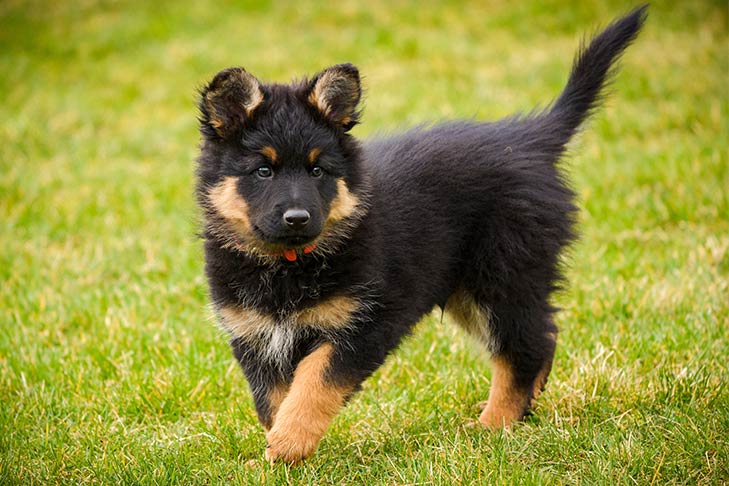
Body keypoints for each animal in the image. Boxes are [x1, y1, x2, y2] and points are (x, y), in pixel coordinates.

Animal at [195, 6, 648, 464]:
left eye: (317, 170)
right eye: (263, 171)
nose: (298, 217)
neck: (288, 264)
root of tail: (531, 139)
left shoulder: (363, 324)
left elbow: (313, 384)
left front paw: (287, 445)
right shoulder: (255, 335)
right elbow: (274, 399)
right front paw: (282, 452)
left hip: (504, 275)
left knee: (525, 347)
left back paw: (495, 426)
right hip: (467, 288)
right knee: (541, 338)